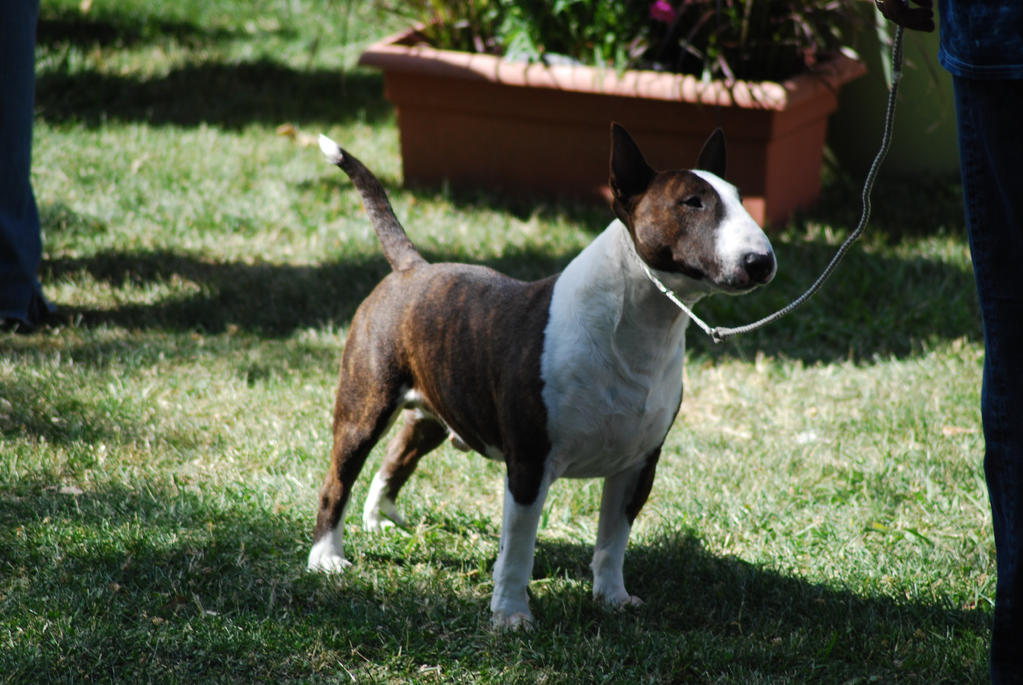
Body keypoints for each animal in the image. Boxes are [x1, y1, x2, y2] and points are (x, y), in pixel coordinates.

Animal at [306, 122, 769, 629]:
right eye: (692, 202)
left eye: (740, 197)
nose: (761, 262)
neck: (638, 326)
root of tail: (412, 267)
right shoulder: (529, 462)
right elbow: (518, 550)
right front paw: (511, 616)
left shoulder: (638, 464)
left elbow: (613, 541)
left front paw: (613, 598)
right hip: (365, 403)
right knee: (338, 479)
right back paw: (326, 557)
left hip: (435, 404)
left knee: (400, 450)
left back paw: (379, 516)